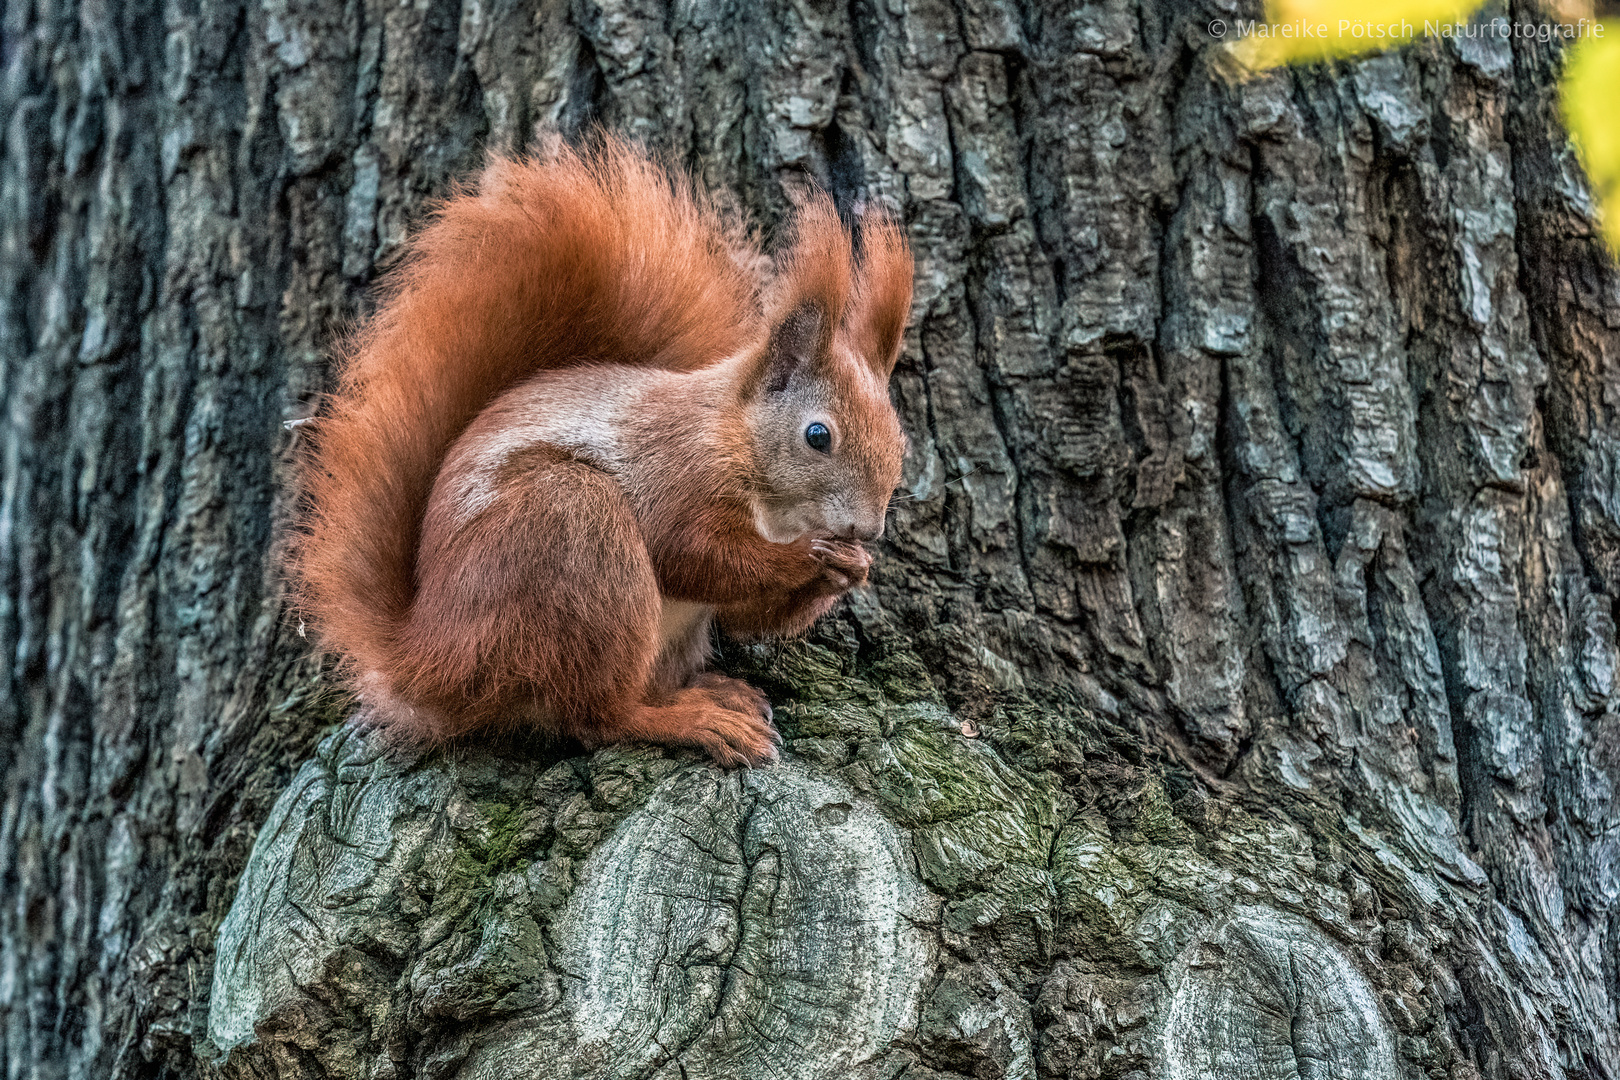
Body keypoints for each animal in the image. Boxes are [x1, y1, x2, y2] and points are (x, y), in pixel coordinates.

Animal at [289, 139, 913, 767]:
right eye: (818, 436)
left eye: (899, 439)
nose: (869, 528)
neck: (736, 438)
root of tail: (429, 658)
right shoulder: (676, 469)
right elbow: (694, 554)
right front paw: (809, 557)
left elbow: (745, 615)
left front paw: (853, 567)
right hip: (574, 534)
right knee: (598, 716)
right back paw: (694, 720)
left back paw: (712, 692)